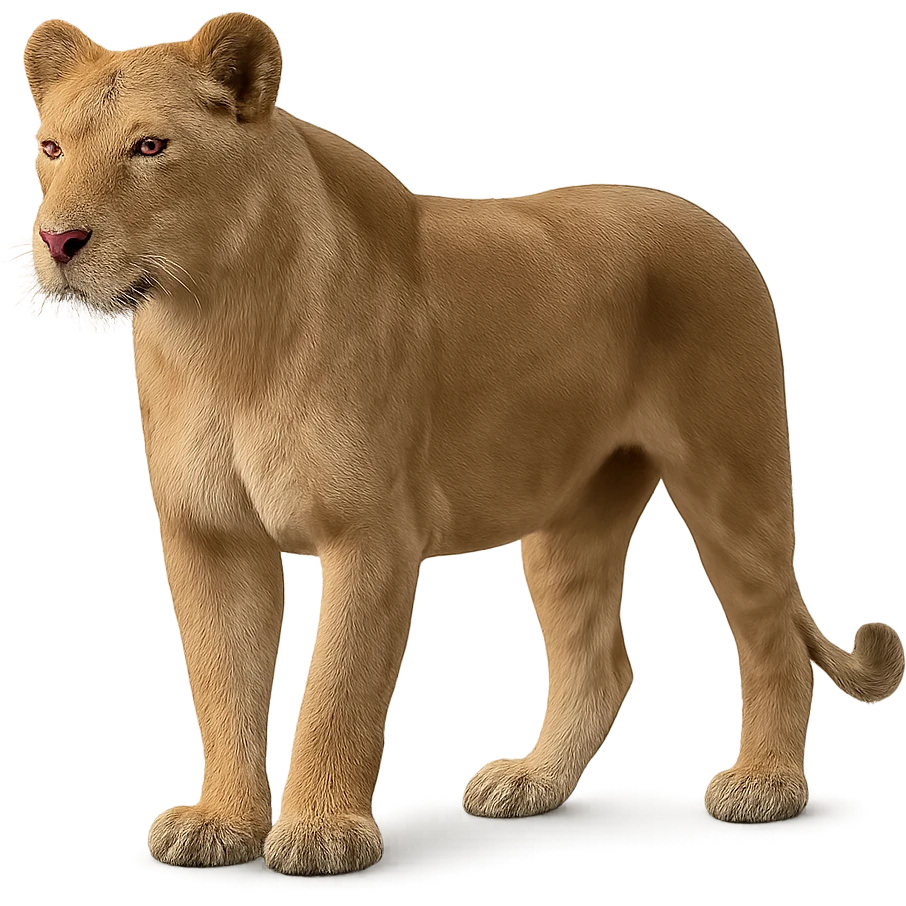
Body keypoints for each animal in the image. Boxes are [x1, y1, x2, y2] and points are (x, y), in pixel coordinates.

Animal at [22, 12, 904, 877]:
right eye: (52, 148)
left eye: (149, 147)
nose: (59, 240)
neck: (214, 326)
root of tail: (712, 221)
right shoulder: (209, 533)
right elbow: (221, 686)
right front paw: (221, 826)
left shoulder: (372, 531)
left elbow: (338, 688)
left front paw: (320, 833)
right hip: (570, 513)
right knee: (600, 659)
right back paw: (531, 782)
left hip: (729, 471)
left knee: (769, 634)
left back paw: (765, 785)